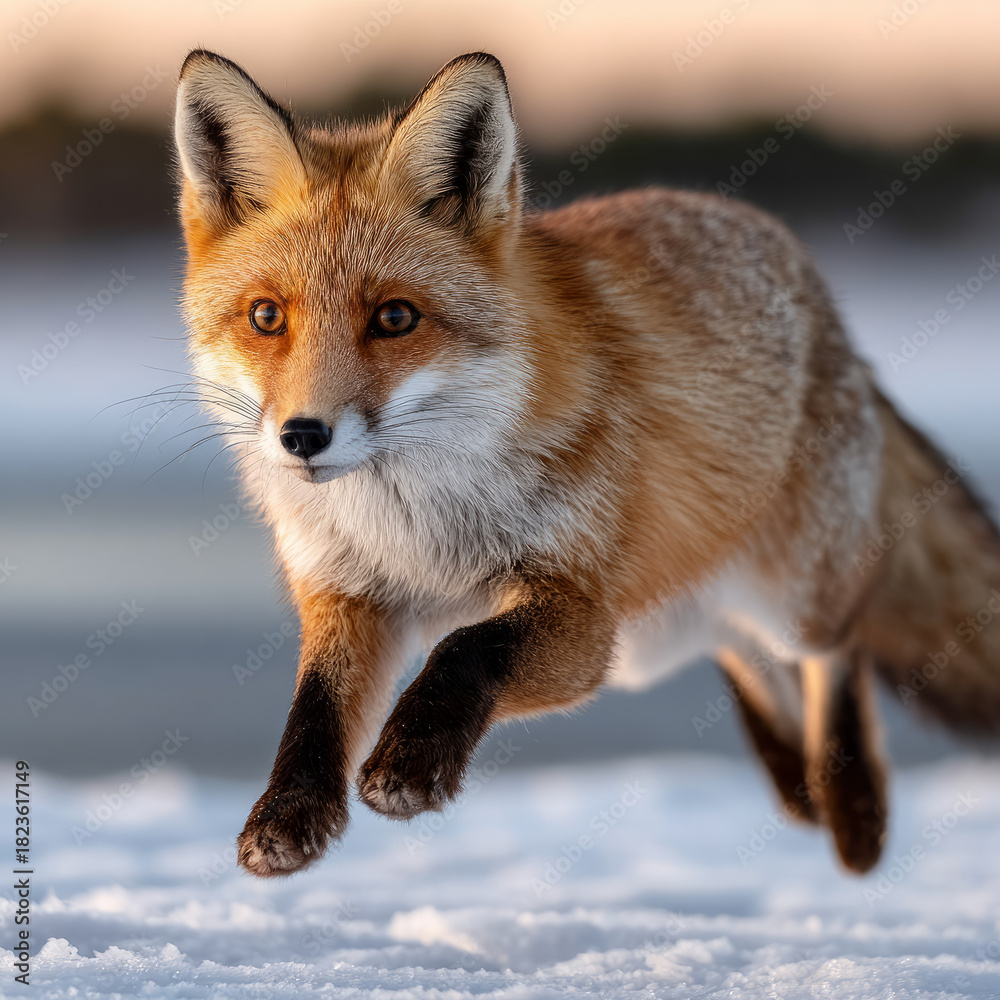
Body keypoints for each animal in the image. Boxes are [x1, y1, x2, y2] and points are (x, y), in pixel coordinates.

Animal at [173, 48, 1000, 879]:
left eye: (395, 318)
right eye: (266, 317)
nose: (302, 435)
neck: (415, 532)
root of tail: (820, 293)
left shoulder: (579, 608)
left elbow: (465, 647)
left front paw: (411, 763)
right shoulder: (349, 596)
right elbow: (313, 707)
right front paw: (286, 815)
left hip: (784, 597)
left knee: (834, 648)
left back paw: (852, 812)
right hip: (661, 632)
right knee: (740, 647)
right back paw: (798, 788)